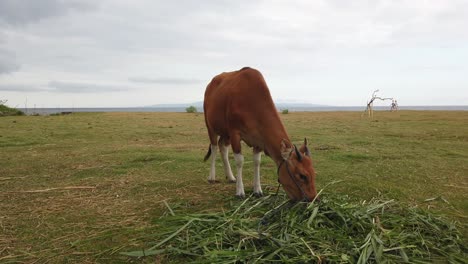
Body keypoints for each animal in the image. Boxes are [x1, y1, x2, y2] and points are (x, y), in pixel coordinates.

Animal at [203, 67, 316, 201]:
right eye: (302, 175)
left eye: (313, 172)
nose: (313, 198)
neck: (251, 100)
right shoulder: (235, 133)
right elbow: (239, 161)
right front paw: (240, 191)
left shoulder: (258, 139)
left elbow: (257, 162)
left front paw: (257, 190)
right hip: (210, 126)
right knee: (214, 147)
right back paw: (212, 177)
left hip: (226, 133)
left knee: (223, 147)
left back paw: (230, 177)